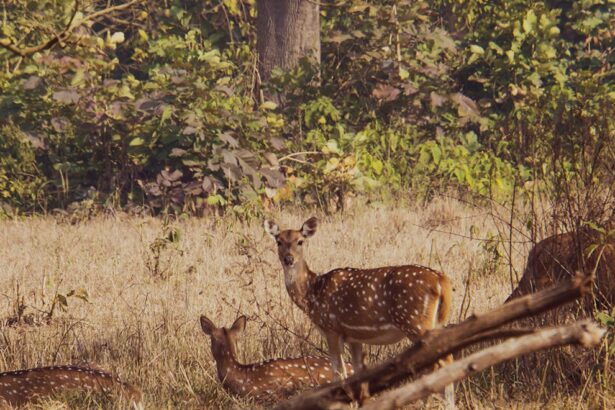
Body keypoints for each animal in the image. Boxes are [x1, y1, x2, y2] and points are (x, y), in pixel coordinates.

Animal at [266, 216, 458, 406]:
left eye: (300, 241)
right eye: (278, 241)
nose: (288, 259)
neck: (312, 293)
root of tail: (441, 280)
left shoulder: (331, 328)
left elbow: (338, 374)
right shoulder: (354, 337)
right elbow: (357, 375)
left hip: (414, 321)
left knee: (444, 360)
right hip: (434, 322)